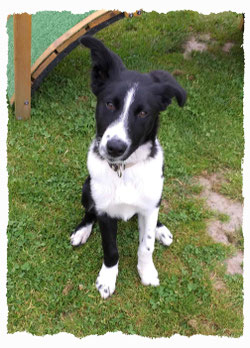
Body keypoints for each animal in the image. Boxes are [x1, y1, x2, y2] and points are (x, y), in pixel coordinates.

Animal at [69, 36, 187, 300]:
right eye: (109, 105)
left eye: (143, 113)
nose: (114, 147)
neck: (124, 169)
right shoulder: (104, 212)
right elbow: (110, 249)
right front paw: (107, 279)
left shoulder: (150, 206)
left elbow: (146, 245)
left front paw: (147, 270)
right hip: (86, 187)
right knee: (89, 211)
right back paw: (82, 230)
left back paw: (161, 229)